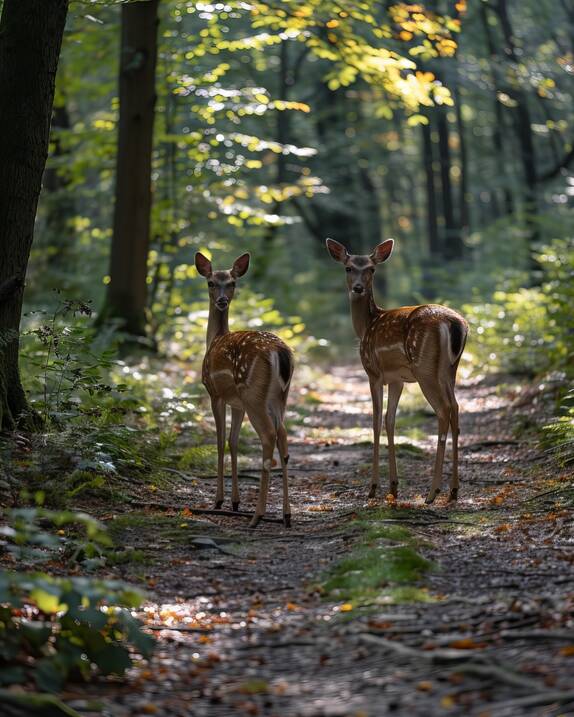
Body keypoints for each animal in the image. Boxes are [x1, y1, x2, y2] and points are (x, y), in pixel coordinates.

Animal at [196, 250, 294, 524]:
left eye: (232, 283)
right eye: (211, 282)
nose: (221, 300)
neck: (214, 339)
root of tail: (280, 353)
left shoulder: (215, 394)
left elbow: (220, 441)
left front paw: (220, 500)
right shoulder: (236, 402)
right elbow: (233, 441)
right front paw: (236, 502)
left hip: (253, 394)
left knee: (269, 436)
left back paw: (258, 516)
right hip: (278, 396)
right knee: (283, 436)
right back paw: (286, 515)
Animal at [326, 239, 470, 504]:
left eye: (371, 269)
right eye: (348, 268)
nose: (358, 288)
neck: (365, 327)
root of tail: (456, 324)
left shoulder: (373, 373)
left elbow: (375, 421)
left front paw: (373, 488)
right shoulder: (397, 380)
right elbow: (390, 420)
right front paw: (393, 487)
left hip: (424, 369)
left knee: (444, 410)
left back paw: (432, 492)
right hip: (449, 369)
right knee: (455, 408)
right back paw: (454, 491)